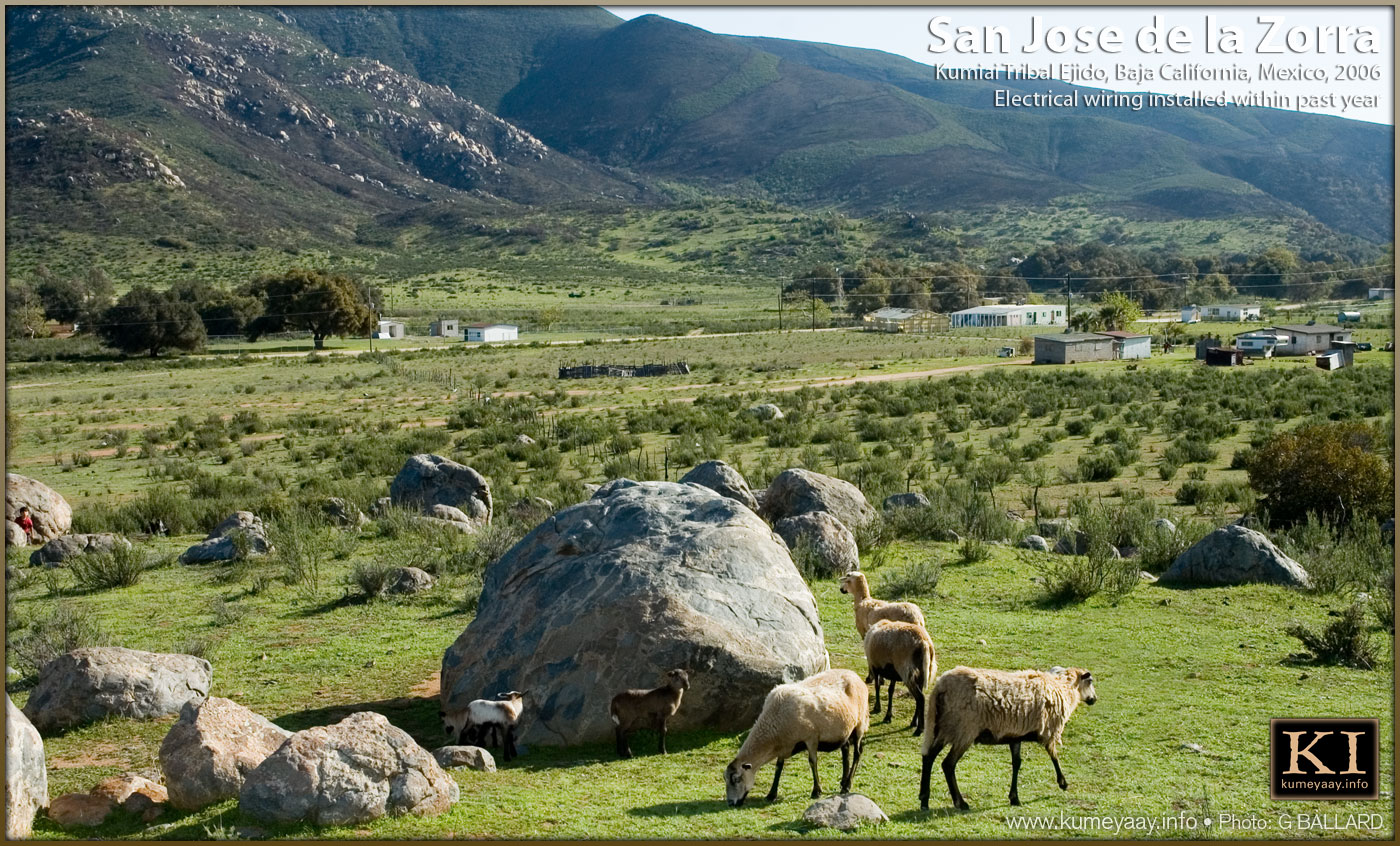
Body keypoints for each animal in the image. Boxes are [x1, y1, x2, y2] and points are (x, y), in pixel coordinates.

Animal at [722, 669, 862, 812]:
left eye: (736, 779)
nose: (730, 803)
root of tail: (852, 673)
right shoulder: (785, 744)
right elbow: (779, 767)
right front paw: (771, 794)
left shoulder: (811, 737)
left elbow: (812, 762)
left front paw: (816, 791)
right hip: (844, 730)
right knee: (845, 750)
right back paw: (843, 782)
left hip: (860, 724)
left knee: (857, 753)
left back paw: (847, 786)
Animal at [918, 663, 1103, 812]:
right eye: (1090, 681)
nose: (1094, 699)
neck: (1063, 687)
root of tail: (940, 687)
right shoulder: (1049, 731)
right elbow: (1054, 757)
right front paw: (1062, 783)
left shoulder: (1015, 735)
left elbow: (1016, 763)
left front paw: (1014, 797)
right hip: (963, 729)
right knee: (948, 764)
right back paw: (960, 803)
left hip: (944, 727)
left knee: (928, 757)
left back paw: (924, 800)